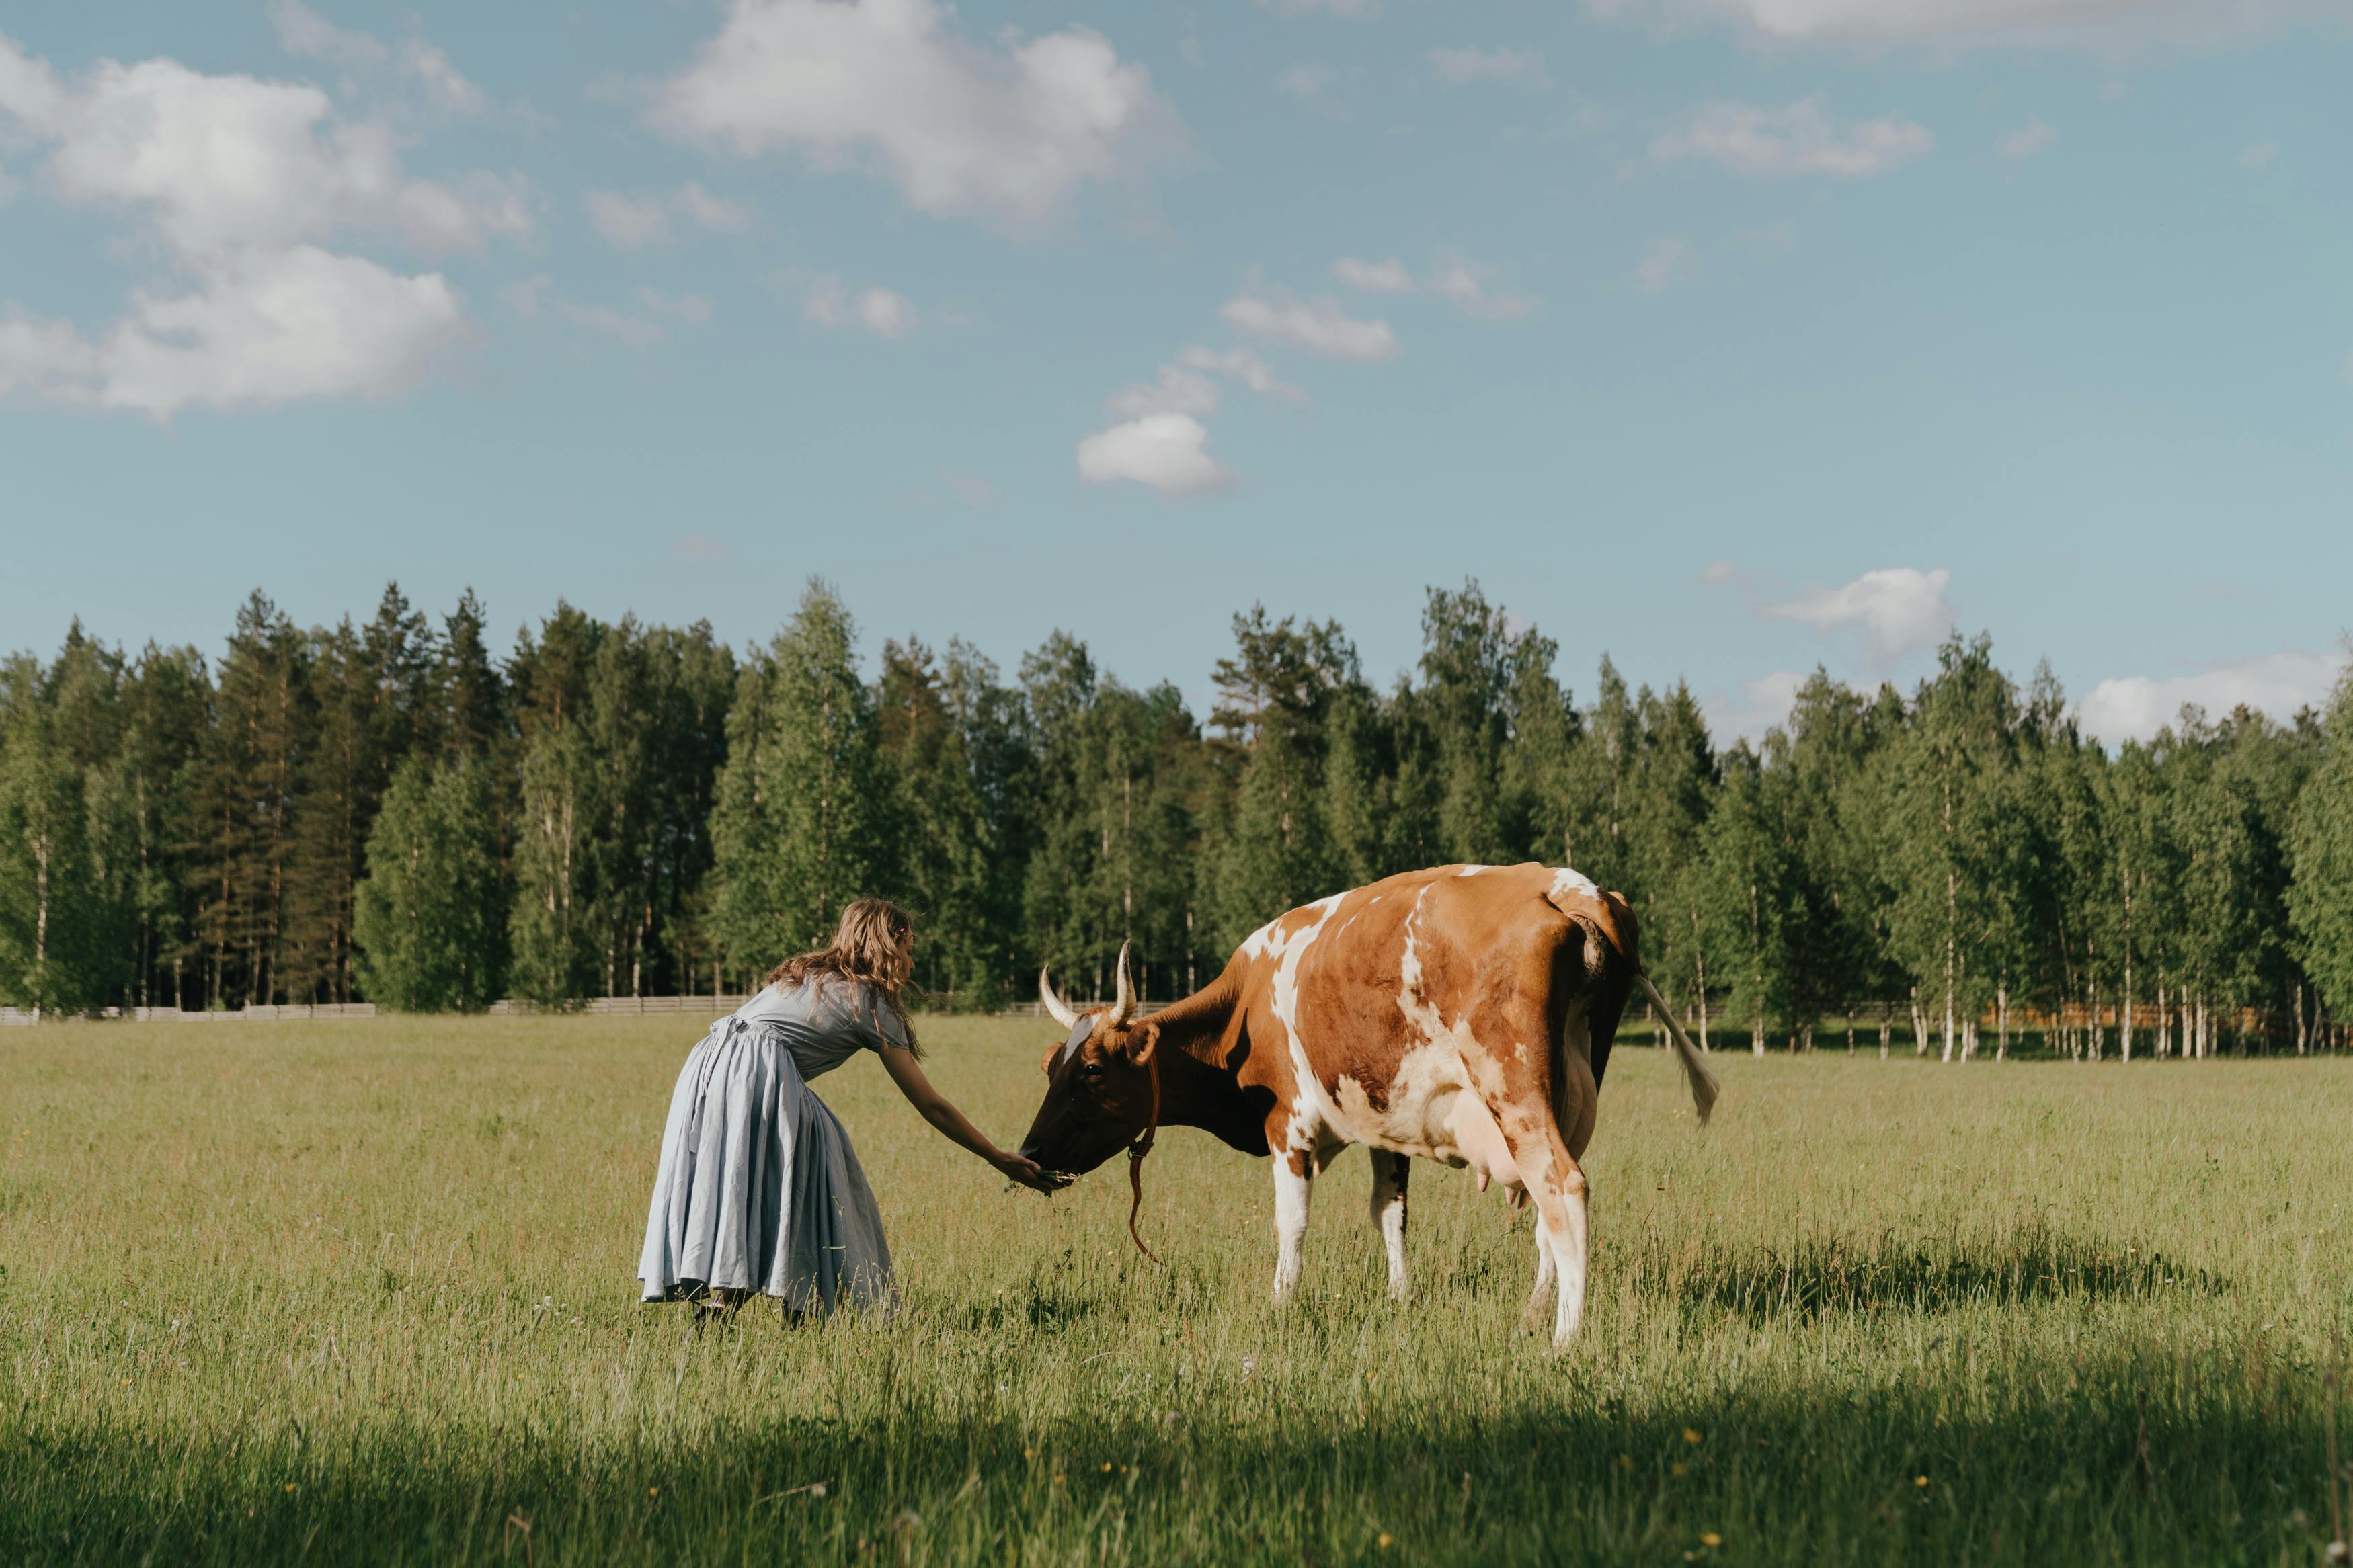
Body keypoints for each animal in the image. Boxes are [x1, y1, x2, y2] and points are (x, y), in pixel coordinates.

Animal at [1017, 862, 1718, 1350]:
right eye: (1051, 1065)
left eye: (1091, 1070)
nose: (1028, 1152)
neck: (1247, 1004)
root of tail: (1569, 886)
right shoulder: (1389, 1129)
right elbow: (1390, 1214)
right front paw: (1400, 1296)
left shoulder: (1288, 1126)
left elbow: (1292, 1223)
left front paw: (1281, 1302)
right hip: (1570, 1094)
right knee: (1550, 1208)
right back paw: (1532, 1313)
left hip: (1515, 1090)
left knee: (1563, 1187)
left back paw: (1564, 1336)